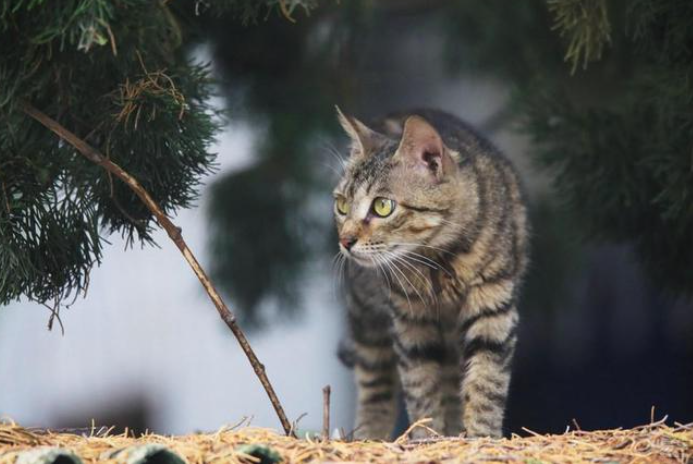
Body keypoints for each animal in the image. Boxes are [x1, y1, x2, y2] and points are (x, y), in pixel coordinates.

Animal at [332, 108, 528, 438]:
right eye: (342, 205)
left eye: (383, 206)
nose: (345, 241)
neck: (439, 258)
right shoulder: (410, 321)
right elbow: (420, 387)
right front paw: (427, 437)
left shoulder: (493, 305)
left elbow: (486, 382)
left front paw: (481, 436)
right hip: (367, 317)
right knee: (375, 384)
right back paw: (370, 434)